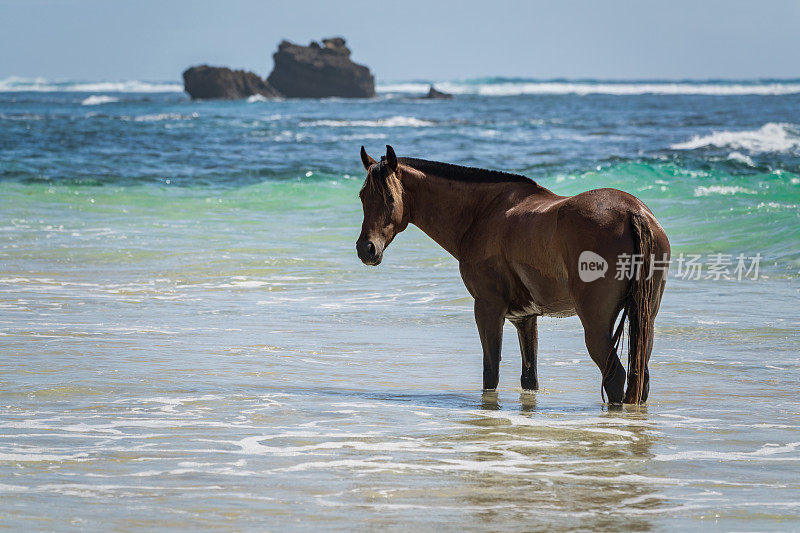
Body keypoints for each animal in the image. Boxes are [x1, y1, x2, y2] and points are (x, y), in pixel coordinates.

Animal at [356, 145, 668, 404]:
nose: (366, 249)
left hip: (596, 326)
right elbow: (529, 378)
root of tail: (634, 213)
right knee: (640, 379)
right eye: (362, 196)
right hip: (646, 323)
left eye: (389, 197)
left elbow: (490, 372)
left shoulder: (488, 308)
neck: (483, 213)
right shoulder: (524, 318)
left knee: (615, 378)